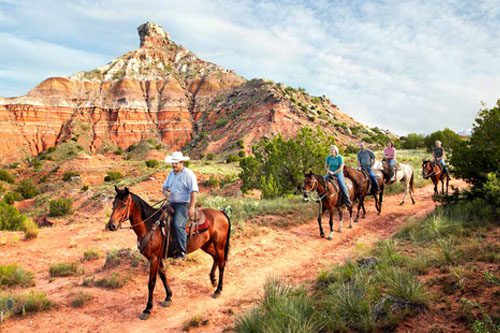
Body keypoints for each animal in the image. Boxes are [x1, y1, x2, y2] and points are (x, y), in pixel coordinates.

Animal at [106, 187, 231, 320]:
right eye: (113, 203)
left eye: (124, 204)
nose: (112, 225)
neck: (150, 226)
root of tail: (221, 213)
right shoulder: (156, 259)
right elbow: (163, 276)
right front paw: (168, 297)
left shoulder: (154, 259)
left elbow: (151, 283)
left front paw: (147, 309)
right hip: (206, 245)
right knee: (215, 258)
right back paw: (213, 280)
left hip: (219, 245)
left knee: (222, 263)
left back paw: (218, 290)